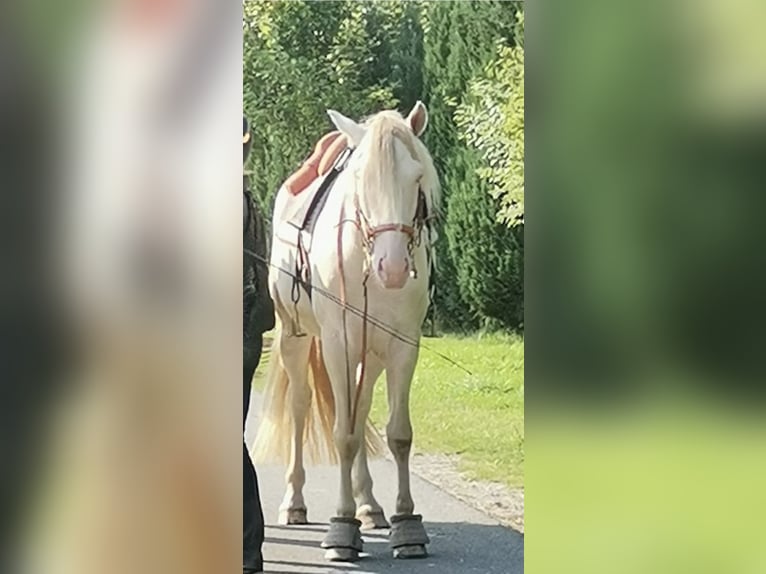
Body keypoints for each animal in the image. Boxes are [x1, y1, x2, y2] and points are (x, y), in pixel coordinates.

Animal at [252, 101, 440, 561]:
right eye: (359, 180)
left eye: (416, 178)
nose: (392, 267)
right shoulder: (339, 344)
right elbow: (343, 434)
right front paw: (341, 525)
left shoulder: (403, 347)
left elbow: (398, 434)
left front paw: (406, 524)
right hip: (296, 339)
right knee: (301, 408)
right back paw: (296, 503)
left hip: (369, 355)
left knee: (362, 405)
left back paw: (369, 505)